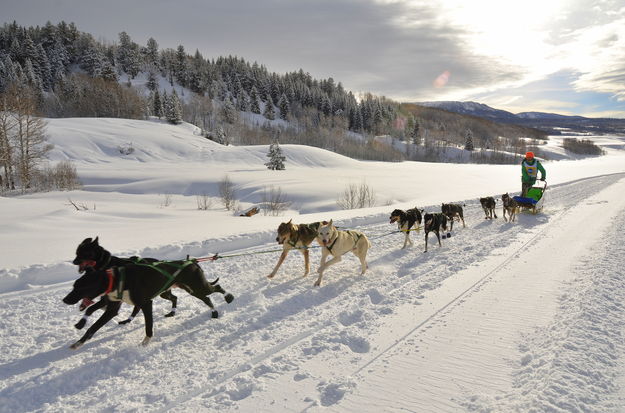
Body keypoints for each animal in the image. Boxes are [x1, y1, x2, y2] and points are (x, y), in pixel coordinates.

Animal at [63, 237, 234, 350]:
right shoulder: (111, 306)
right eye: (74, 286)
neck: (115, 277)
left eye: (81, 288)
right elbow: (92, 324)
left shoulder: (145, 303)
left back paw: (227, 299)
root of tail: (192, 262)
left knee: (215, 289)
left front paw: (145, 342)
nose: (64, 300)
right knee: (197, 298)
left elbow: (148, 326)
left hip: (197, 287)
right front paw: (79, 340)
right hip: (181, 290)